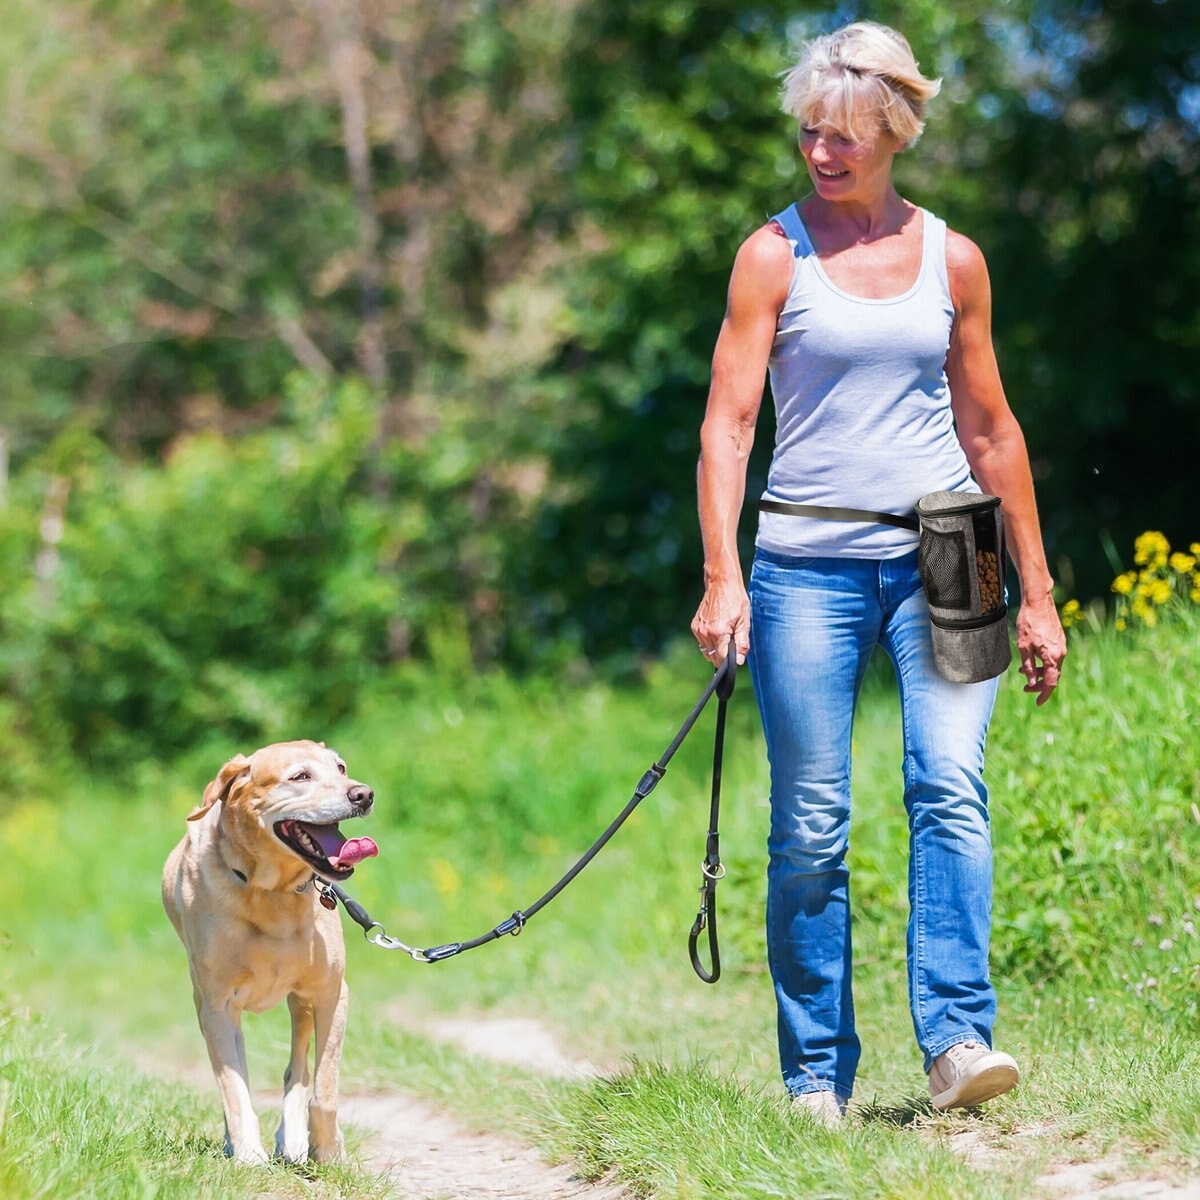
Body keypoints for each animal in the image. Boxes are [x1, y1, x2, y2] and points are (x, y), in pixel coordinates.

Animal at [159, 739, 374, 1161]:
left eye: (341, 768)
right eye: (300, 776)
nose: (363, 794)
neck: (272, 892)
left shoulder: (331, 993)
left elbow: (324, 1087)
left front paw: (327, 1152)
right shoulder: (218, 1005)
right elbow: (233, 1087)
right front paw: (247, 1153)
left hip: (302, 1003)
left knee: (298, 1069)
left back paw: (293, 1137)